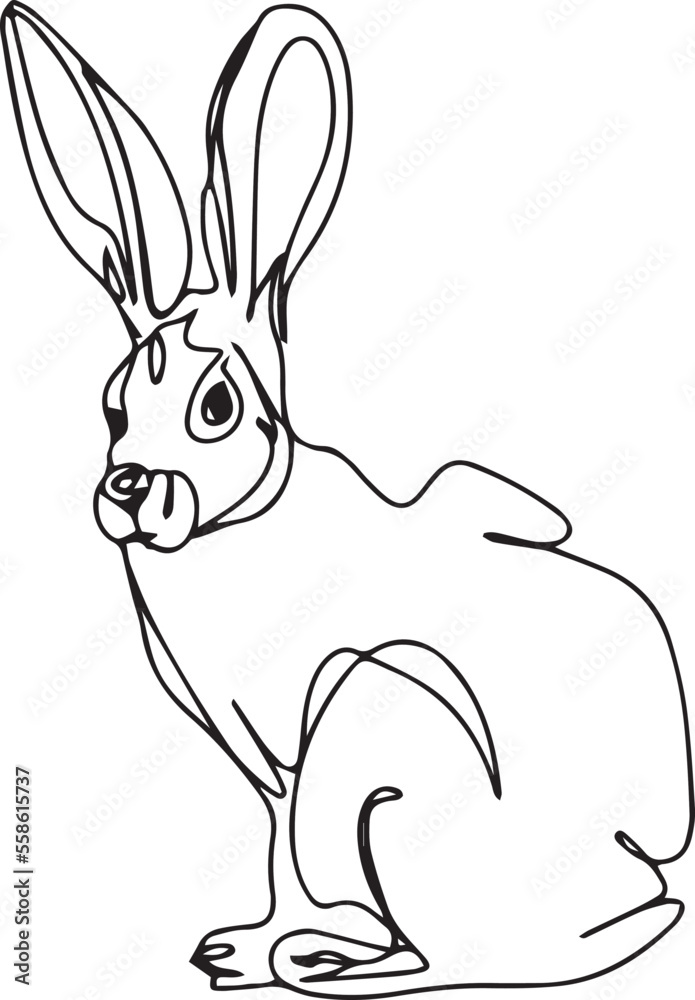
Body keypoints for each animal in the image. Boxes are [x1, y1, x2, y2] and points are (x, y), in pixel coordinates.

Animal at [3, 2, 693, 995]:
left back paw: (325, 962)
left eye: (217, 406)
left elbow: (291, 852)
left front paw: (256, 949)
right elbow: (272, 844)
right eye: (112, 405)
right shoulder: (260, 760)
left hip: (373, 729)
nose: (128, 488)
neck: (239, 526)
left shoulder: (297, 743)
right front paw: (240, 945)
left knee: (459, 954)